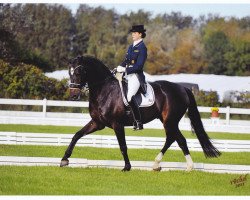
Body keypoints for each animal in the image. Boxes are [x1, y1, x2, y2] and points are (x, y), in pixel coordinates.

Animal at [60, 55, 221, 171]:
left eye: (79, 72)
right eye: (69, 72)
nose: (73, 95)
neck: (104, 90)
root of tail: (182, 88)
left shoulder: (117, 124)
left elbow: (123, 146)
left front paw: (127, 167)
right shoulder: (97, 123)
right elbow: (76, 135)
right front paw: (64, 160)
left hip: (170, 120)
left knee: (177, 139)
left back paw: (181, 166)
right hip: (167, 120)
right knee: (175, 139)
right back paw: (164, 165)